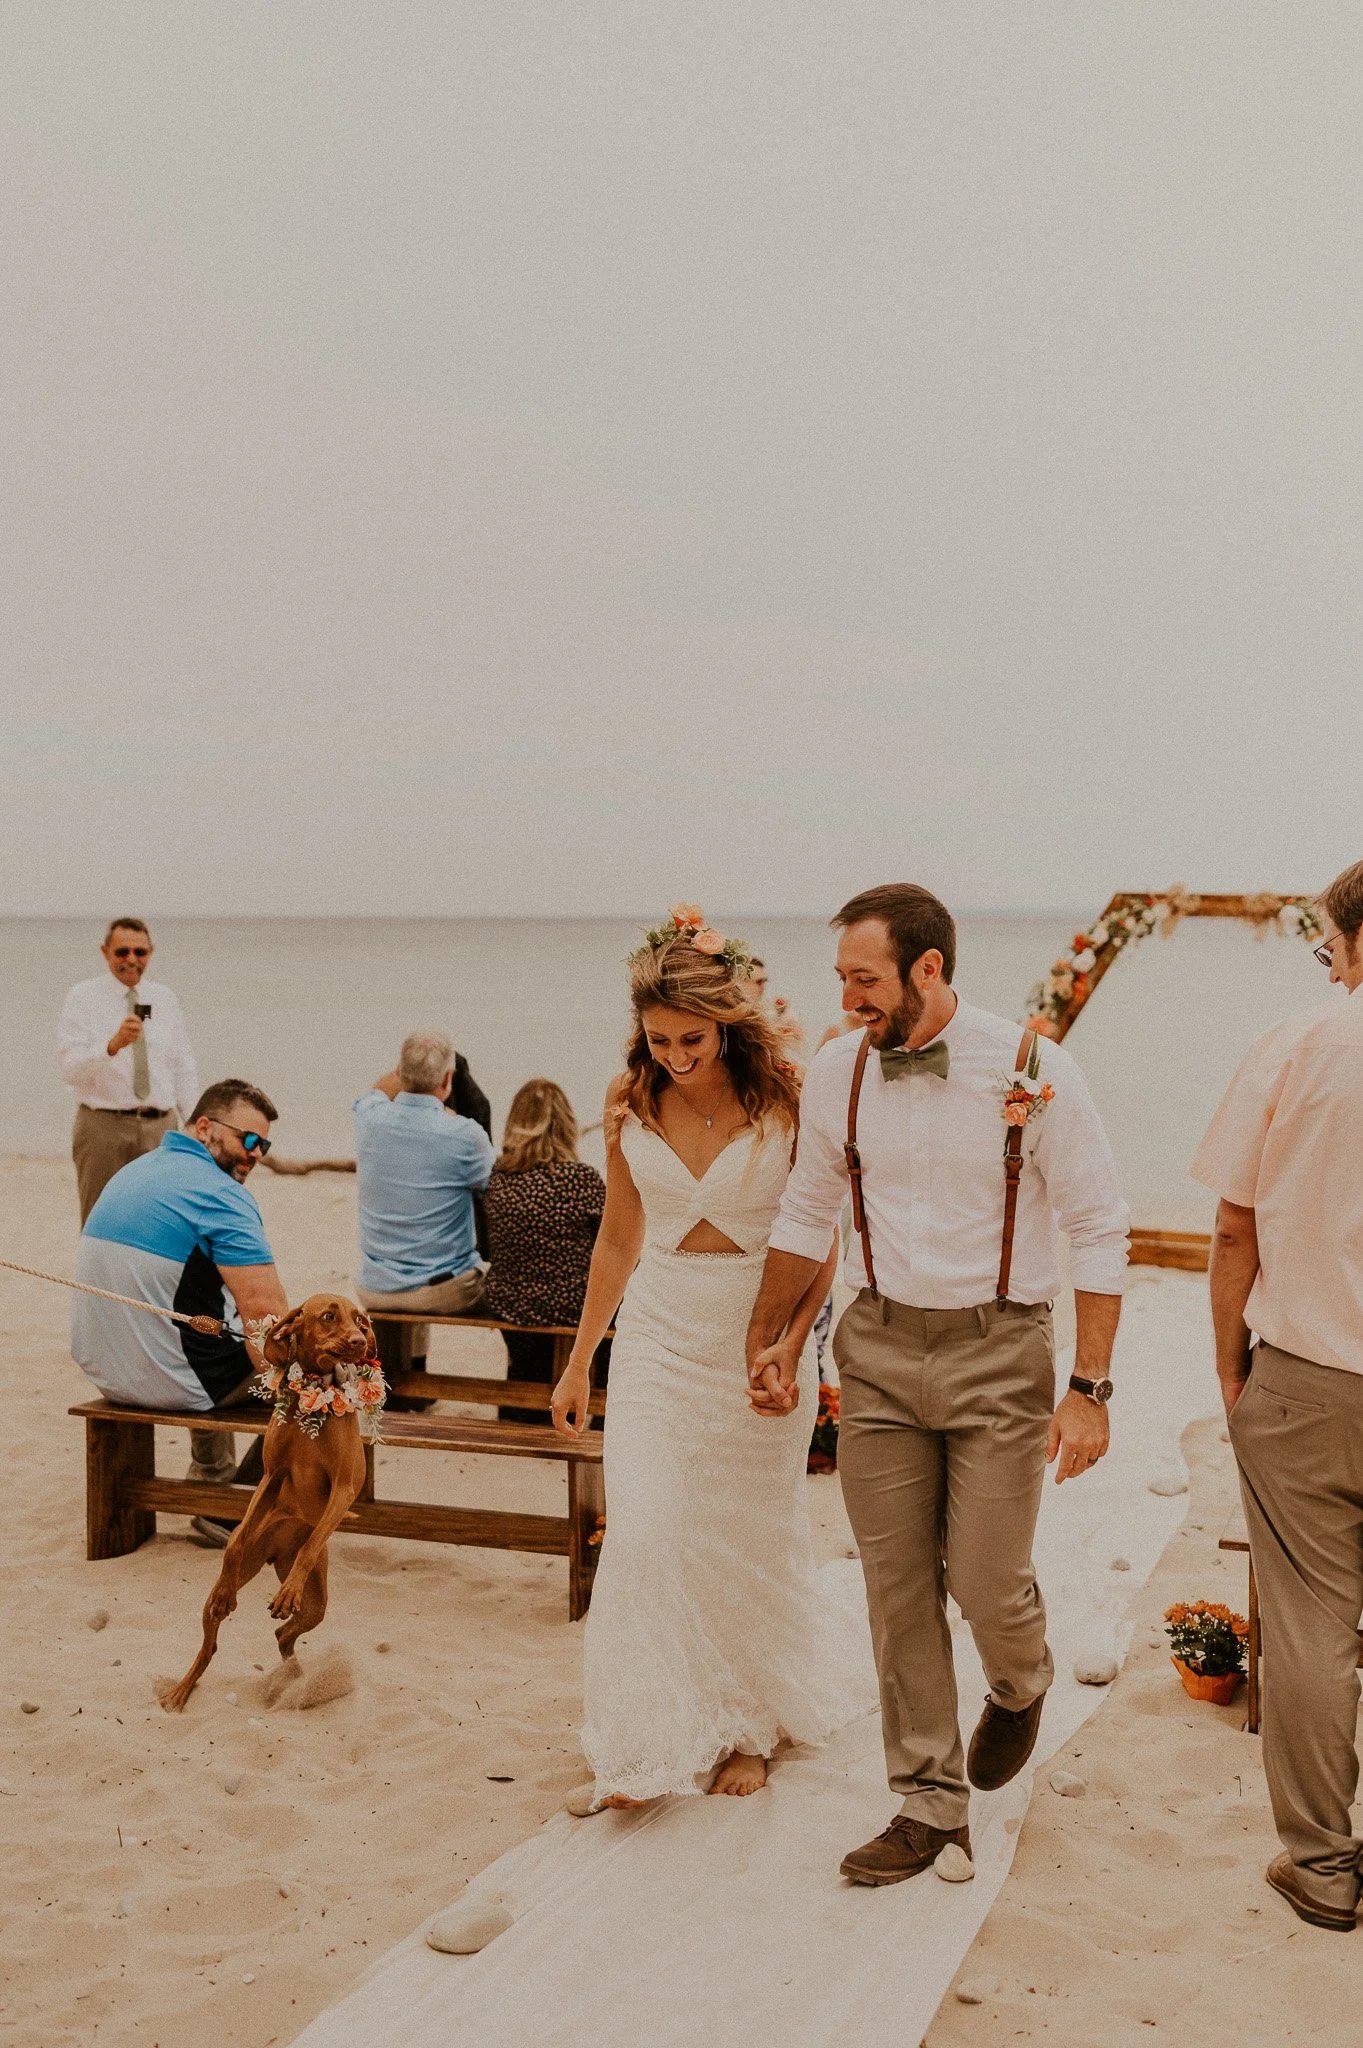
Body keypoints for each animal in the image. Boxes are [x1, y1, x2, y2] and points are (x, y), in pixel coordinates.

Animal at [157, 1294, 382, 1712]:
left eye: (360, 1320)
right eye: (329, 1316)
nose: (360, 1341)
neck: (314, 1400)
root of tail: (277, 1552)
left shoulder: (343, 1490)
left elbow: (312, 1544)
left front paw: (288, 1591)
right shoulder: (271, 1475)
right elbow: (236, 1537)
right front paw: (227, 1581)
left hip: (316, 1601)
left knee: (284, 1633)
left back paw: (296, 1680)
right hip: (246, 1567)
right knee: (211, 1645)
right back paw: (181, 1690)